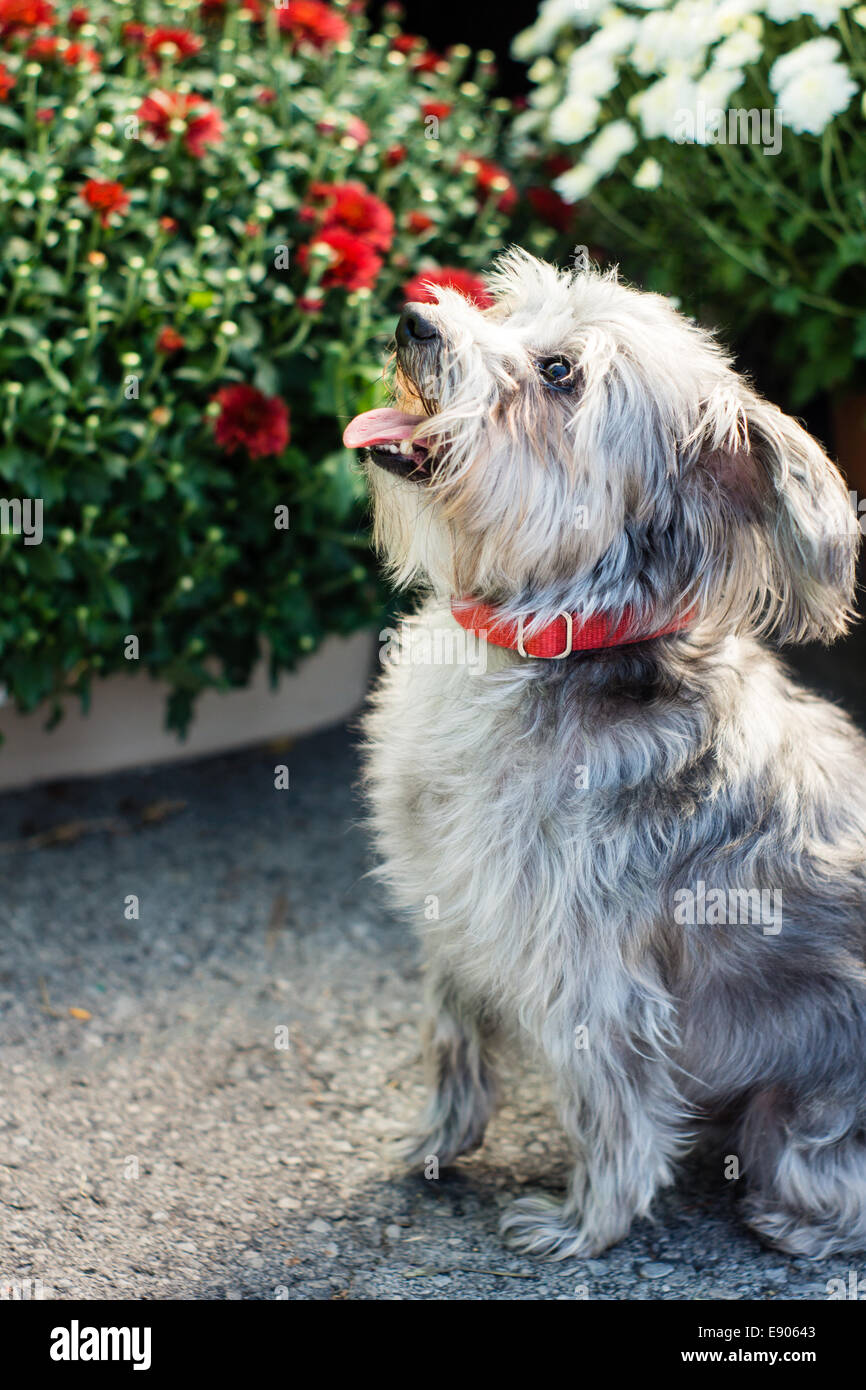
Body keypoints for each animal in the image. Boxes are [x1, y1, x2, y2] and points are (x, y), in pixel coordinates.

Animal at [341, 247, 866, 1262]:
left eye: (559, 374)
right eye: (509, 308)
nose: (415, 319)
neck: (539, 639)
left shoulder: (596, 978)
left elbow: (611, 1111)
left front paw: (583, 1224)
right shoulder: (458, 917)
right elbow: (451, 1037)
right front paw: (433, 1145)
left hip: (800, 1118)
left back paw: (790, 1221)